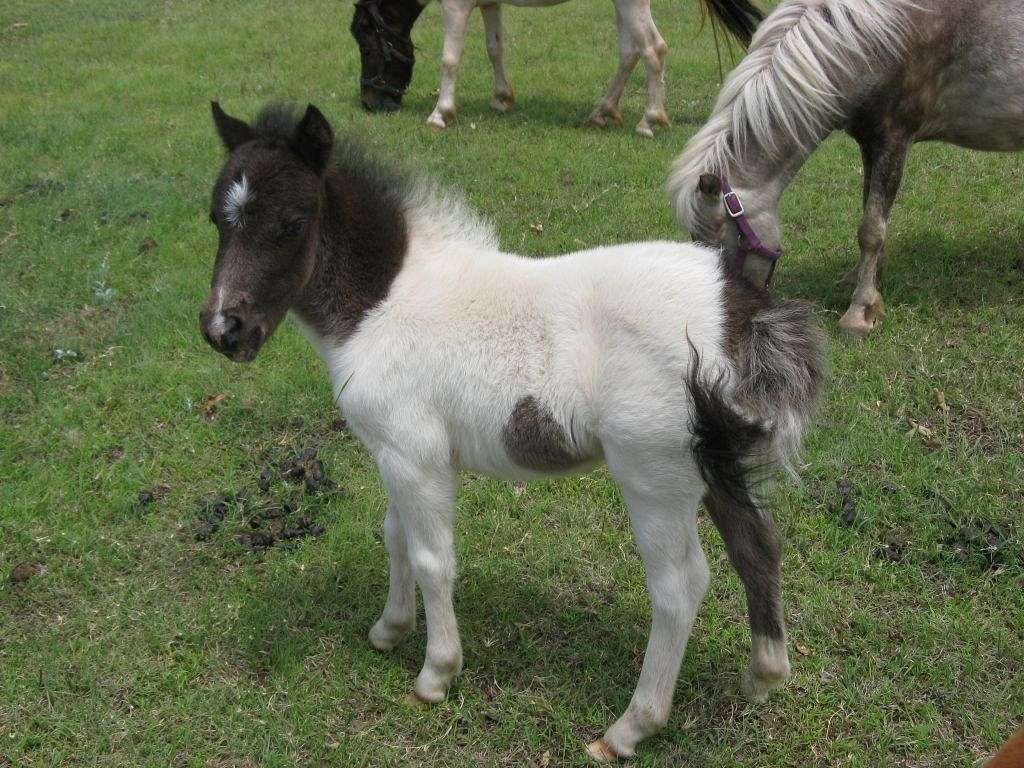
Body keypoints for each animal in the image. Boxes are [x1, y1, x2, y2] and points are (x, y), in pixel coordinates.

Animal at [200, 101, 825, 760]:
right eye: (217, 217)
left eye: (293, 223)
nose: (223, 330)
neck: (382, 305)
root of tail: (742, 316)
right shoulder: (397, 451)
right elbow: (395, 536)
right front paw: (390, 629)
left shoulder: (415, 455)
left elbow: (431, 557)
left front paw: (436, 673)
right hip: (717, 461)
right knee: (757, 548)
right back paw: (762, 675)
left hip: (654, 474)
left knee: (679, 587)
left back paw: (629, 728)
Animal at [350, 0, 764, 136]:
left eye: (364, 40)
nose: (369, 102)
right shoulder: (488, 4)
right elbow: (494, 48)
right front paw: (502, 99)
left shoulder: (456, 7)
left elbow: (450, 59)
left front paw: (441, 114)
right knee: (629, 52)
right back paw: (602, 112)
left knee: (653, 50)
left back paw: (648, 120)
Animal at [667, 0, 1024, 338]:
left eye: (722, 242)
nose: (728, 313)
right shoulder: (869, 143)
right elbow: (870, 213)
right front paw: (866, 280)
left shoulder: (893, 139)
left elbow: (871, 230)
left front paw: (859, 312)